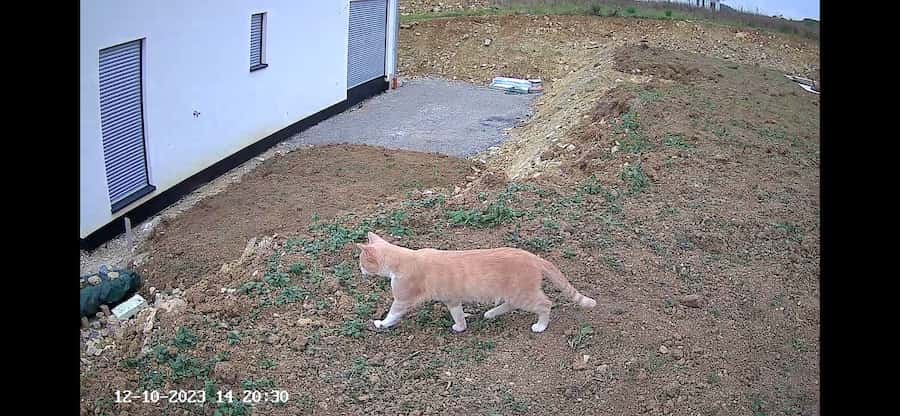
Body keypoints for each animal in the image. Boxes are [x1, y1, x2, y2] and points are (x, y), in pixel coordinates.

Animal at [356, 232, 596, 334]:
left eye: (361, 261)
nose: (360, 270)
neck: (403, 259)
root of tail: (532, 256)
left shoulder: (402, 299)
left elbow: (392, 314)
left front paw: (381, 324)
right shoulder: (452, 299)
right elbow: (459, 315)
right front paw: (461, 326)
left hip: (523, 294)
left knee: (545, 305)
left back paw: (540, 326)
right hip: (514, 293)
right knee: (510, 304)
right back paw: (490, 314)